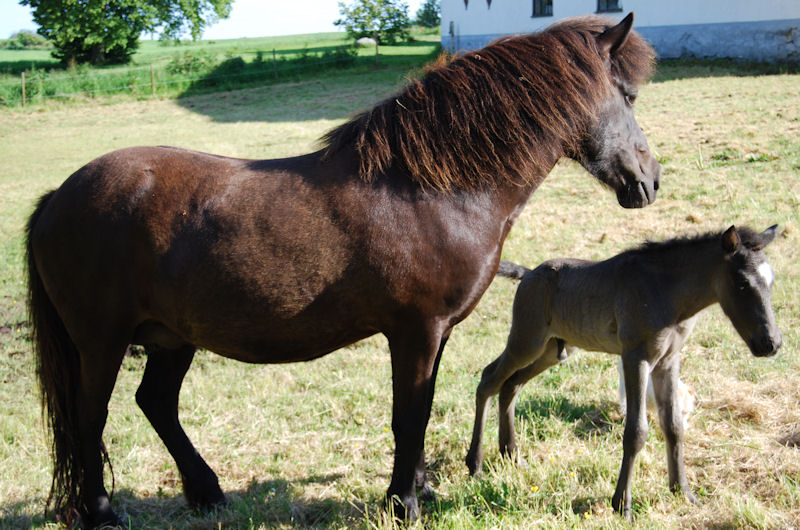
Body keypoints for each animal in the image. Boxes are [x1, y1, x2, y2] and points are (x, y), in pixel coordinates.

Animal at [28, 12, 660, 524]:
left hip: (171, 337)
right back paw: (103, 513)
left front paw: (420, 490)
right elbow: (409, 415)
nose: (650, 182)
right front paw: (403, 503)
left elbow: (422, 408)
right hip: (102, 341)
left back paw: (207, 493)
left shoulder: (436, 333)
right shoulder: (415, 330)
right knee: (89, 418)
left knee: (155, 404)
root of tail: (58, 197)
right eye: (628, 96)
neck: (432, 189)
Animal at [468, 224, 780, 516]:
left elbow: (674, 426)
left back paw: (511, 455)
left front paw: (683, 492)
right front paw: (622, 505)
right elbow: (636, 432)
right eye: (742, 283)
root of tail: (528, 274)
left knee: (511, 385)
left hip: (552, 351)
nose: (771, 343)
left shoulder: (668, 361)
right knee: (488, 379)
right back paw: (475, 463)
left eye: (772, 281)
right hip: (526, 341)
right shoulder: (636, 358)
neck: (667, 292)